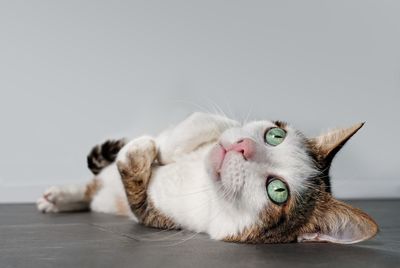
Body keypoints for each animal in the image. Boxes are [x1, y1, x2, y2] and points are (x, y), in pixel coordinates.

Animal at [36, 112, 378, 244]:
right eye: (275, 135)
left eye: (278, 191)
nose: (244, 147)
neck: (199, 181)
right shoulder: (212, 128)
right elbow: (208, 121)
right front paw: (168, 142)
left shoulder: (151, 213)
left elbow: (133, 176)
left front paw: (140, 147)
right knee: (92, 186)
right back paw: (58, 197)